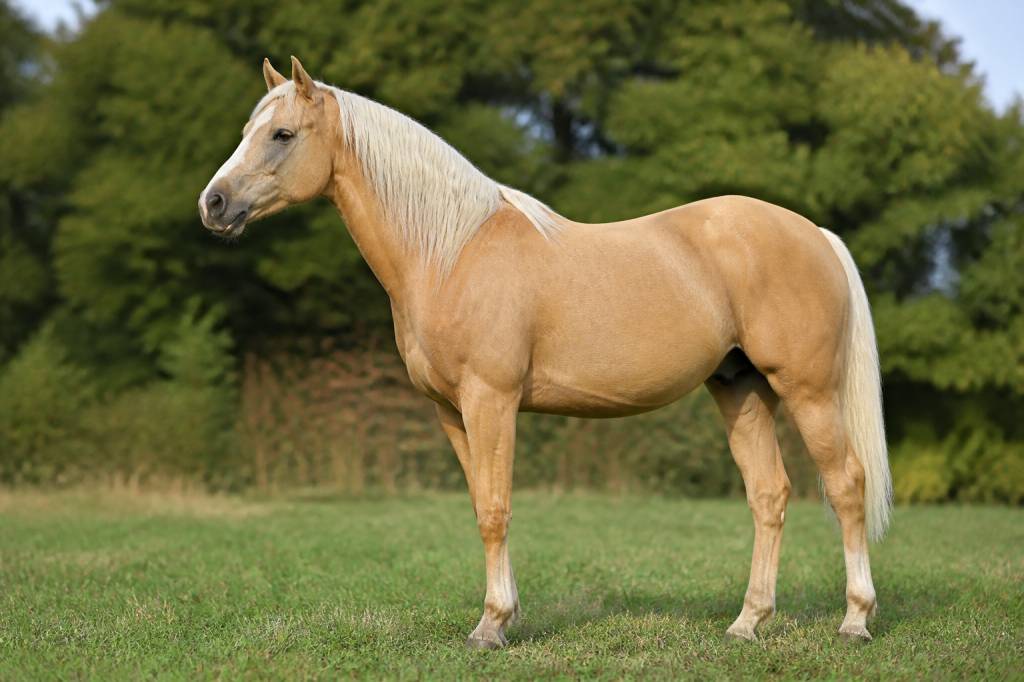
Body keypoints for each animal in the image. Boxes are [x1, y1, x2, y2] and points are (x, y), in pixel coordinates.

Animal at [199, 57, 892, 649]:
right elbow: (482, 504)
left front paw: (491, 626)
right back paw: (748, 622)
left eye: (283, 134)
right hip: (740, 388)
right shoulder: (451, 412)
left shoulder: (492, 400)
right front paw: (500, 618)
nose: (213, 203)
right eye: (249, 131)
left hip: (808, 392)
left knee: (846, 484)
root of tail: (814, 233)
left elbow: (496, 510)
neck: (451, 253)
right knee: (769, 495)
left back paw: (855, 620)